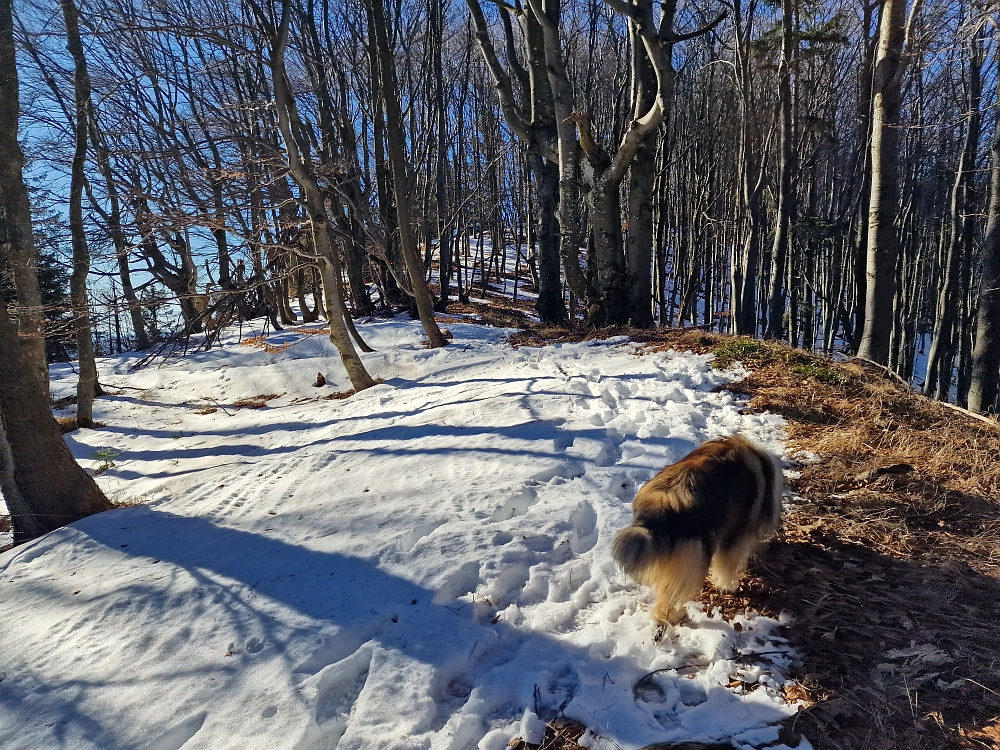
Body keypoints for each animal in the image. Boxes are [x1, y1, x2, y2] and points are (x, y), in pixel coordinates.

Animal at [612, 438, 784, 624]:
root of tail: (663, 505)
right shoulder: (735, 533)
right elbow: (727, 565)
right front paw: (729, 586)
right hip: (695, 554)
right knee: (669, 598)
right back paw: (674, 616)